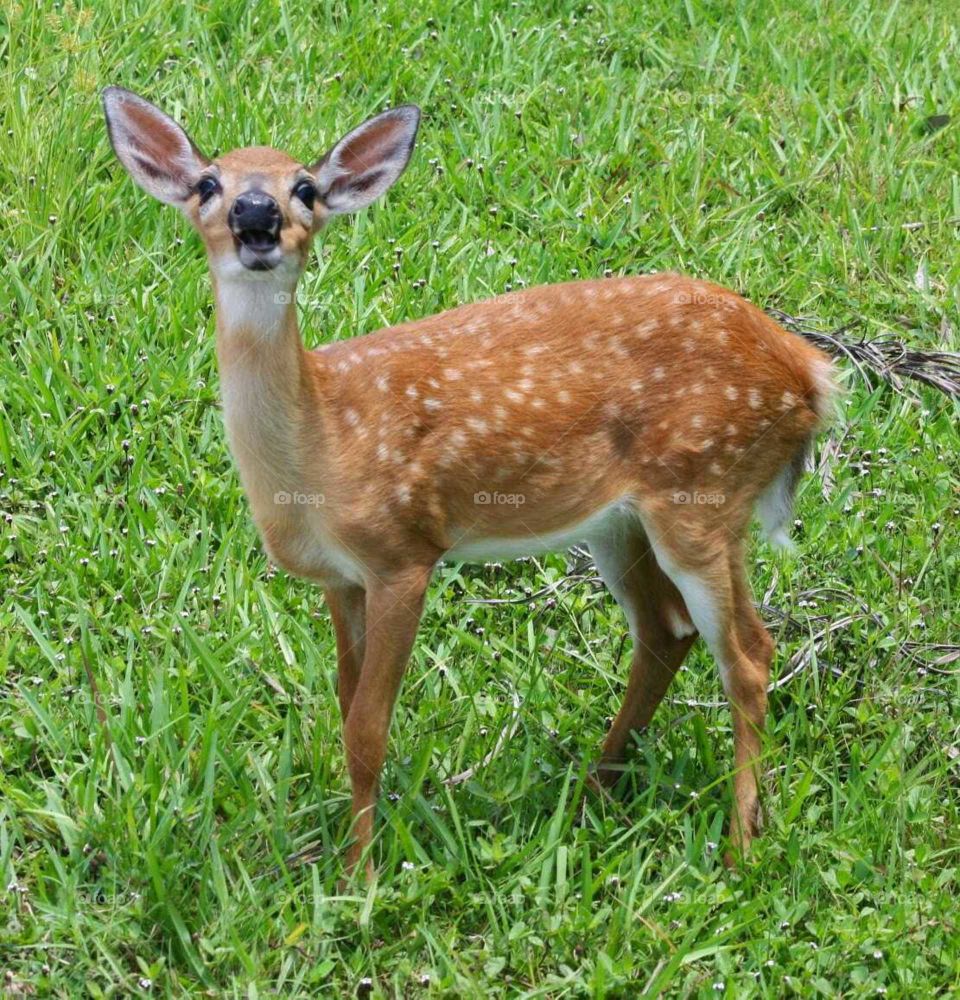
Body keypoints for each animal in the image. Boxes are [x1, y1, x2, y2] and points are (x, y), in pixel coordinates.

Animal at [102, 86, 836, 878]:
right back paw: (596, 789)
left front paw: (359, 875)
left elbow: (368, 727)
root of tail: (810, 374)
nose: (256, 214)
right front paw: (347, 846)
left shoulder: (403, 551)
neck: (322, 448)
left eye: (305, 189)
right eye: (209, 184)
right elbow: (344, 701)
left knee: (749, 657)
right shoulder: (341, 578)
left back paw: (739, 847)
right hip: (622, 522)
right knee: (666, 632)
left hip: (705, 491)